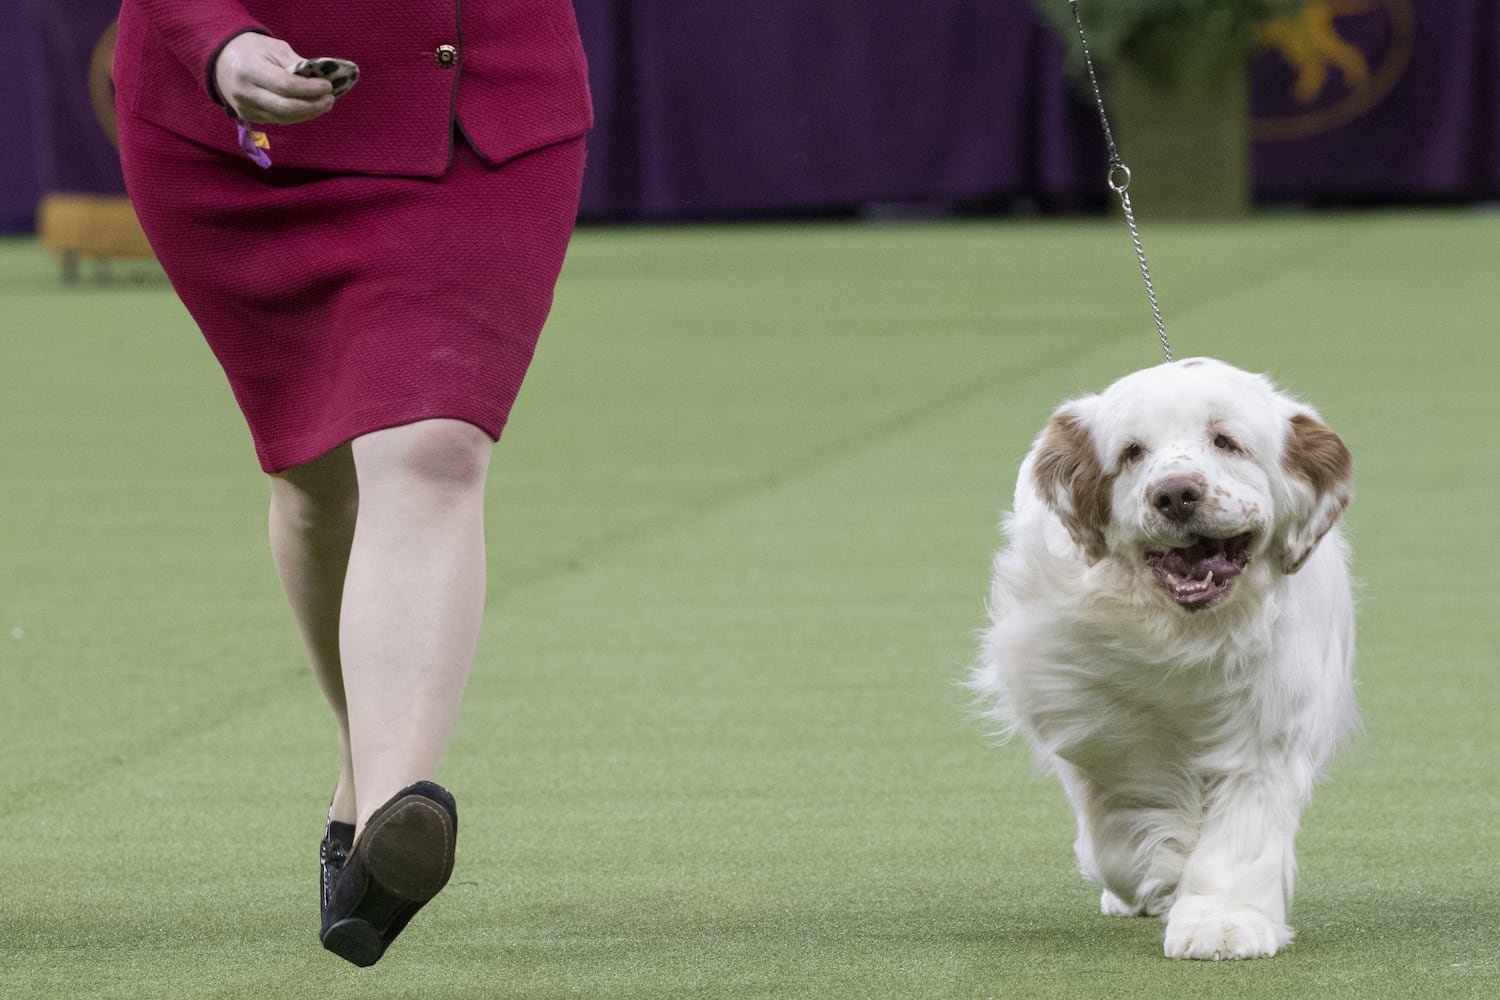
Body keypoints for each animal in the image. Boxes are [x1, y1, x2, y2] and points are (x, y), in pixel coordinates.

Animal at [972, 355, 1362, 959]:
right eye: (1132, 451)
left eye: (1226, 441)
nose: (1176, 494)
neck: (1186, 633)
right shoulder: (1084, 703)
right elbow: (1131, 802)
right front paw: (1160, 867)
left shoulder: (1266, 725)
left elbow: (1241, 829)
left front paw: (1221, 921)